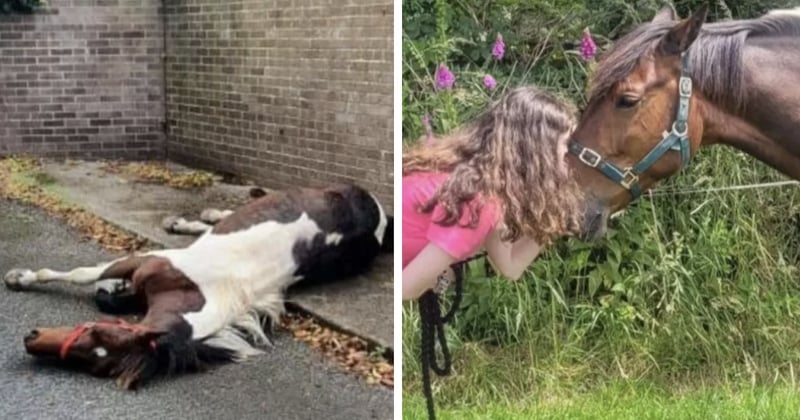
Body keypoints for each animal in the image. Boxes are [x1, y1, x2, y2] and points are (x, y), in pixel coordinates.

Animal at [3, 184, 390, 390]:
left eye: (97, 345)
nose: (31, 339)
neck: (194, 293)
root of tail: (377, 210)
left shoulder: (146, 261)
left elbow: (85, 275)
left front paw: (20, 278)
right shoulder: (144, 261)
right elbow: (88, 277)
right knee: (232, 213)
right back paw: (190, 220)